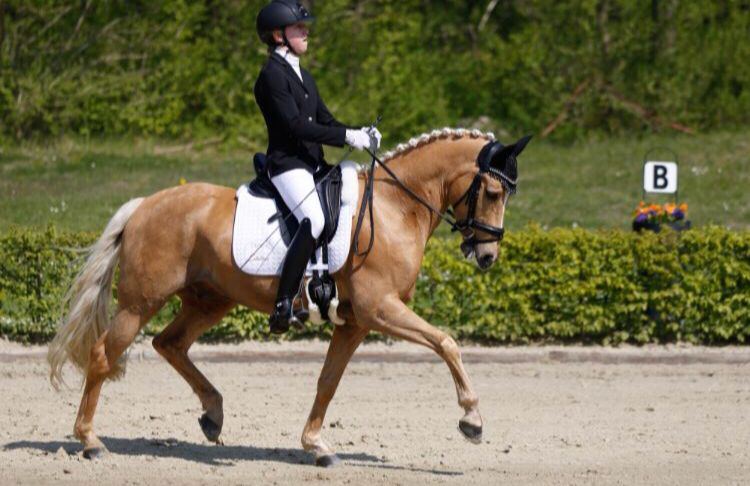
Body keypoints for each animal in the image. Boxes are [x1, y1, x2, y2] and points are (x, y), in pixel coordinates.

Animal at [47, 127, 531, 466]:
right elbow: (446, 342)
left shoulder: (356, 322)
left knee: (171, 344)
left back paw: (212, 414)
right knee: (103, 356)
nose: (487, 256)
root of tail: (145, 204)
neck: (394, 207)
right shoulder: (381, 309)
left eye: (508, 193)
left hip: (211, 300)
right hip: (140, 303)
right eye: (492, 192)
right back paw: (90, 441)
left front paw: (316, 445)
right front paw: (471, 419)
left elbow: (328, 381)